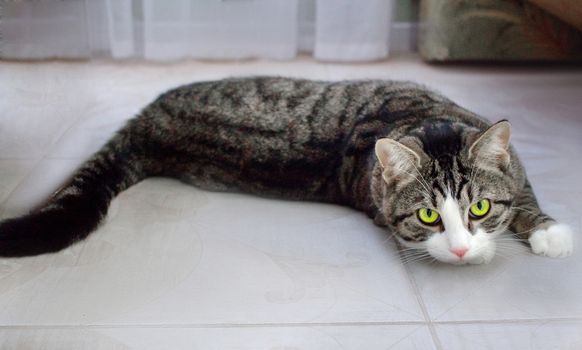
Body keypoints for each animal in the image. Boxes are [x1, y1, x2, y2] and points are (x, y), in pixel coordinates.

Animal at [0, 76, 576, 262]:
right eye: (428, 218)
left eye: (479, 206)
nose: (459, 249)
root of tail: (149, 123)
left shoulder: (513, 166)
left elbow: (522, 193)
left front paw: (545, 232)